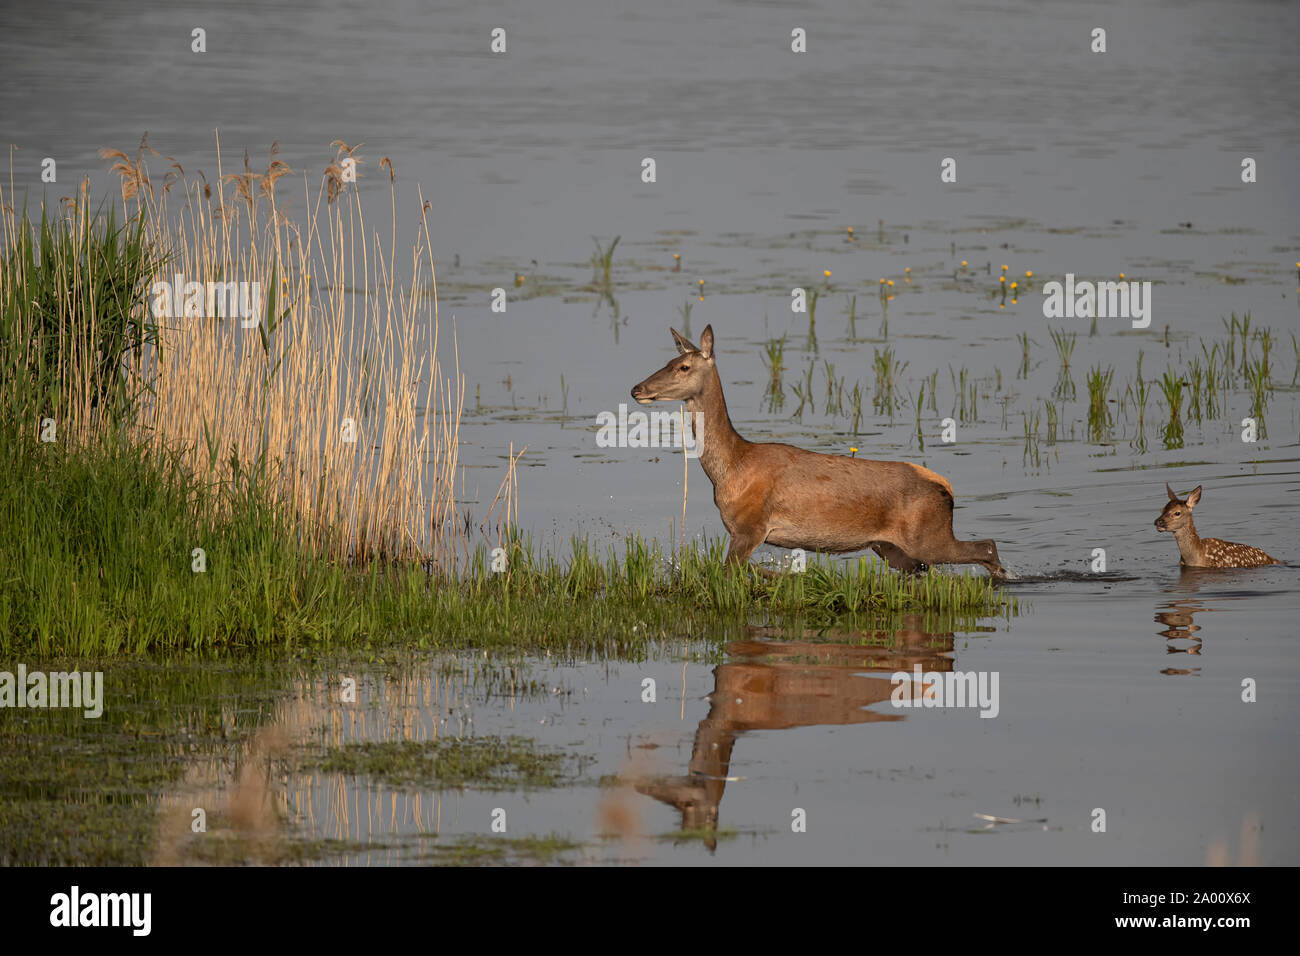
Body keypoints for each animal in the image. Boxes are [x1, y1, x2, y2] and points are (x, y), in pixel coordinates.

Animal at [629, 325, 1003, 574]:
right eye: (669, 360)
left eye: (683, 367)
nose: (637, 388)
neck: (731, 467)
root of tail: (946, 488)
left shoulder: (750, 527)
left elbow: (730, 573)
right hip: (892, 547)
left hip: (927, 535)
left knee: (986, 546)